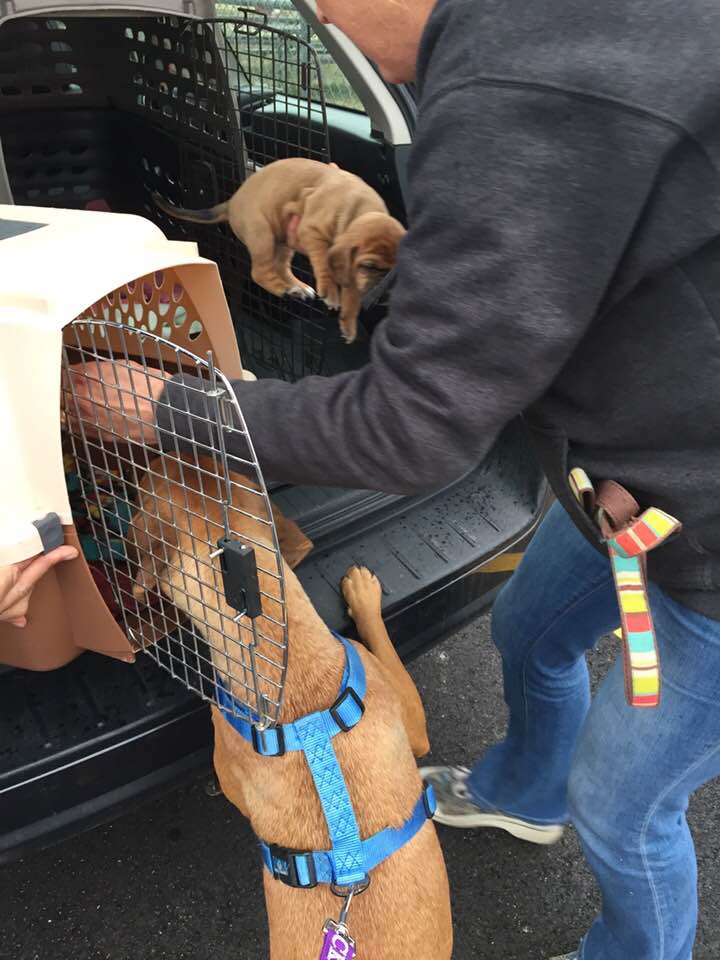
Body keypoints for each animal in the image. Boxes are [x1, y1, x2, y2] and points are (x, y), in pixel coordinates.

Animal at [153, 157, 406, 343]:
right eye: (369, 266)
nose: (386, 291)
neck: (359, 210)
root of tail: (232, 202)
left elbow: (351, 297)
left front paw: (348, 324)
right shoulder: (311, 230)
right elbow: (323, 262)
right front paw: (331, 292)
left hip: (283, 240)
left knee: (282, 268)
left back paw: (297, 287)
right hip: (264, 235)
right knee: (260, 273)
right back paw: (284, 289)